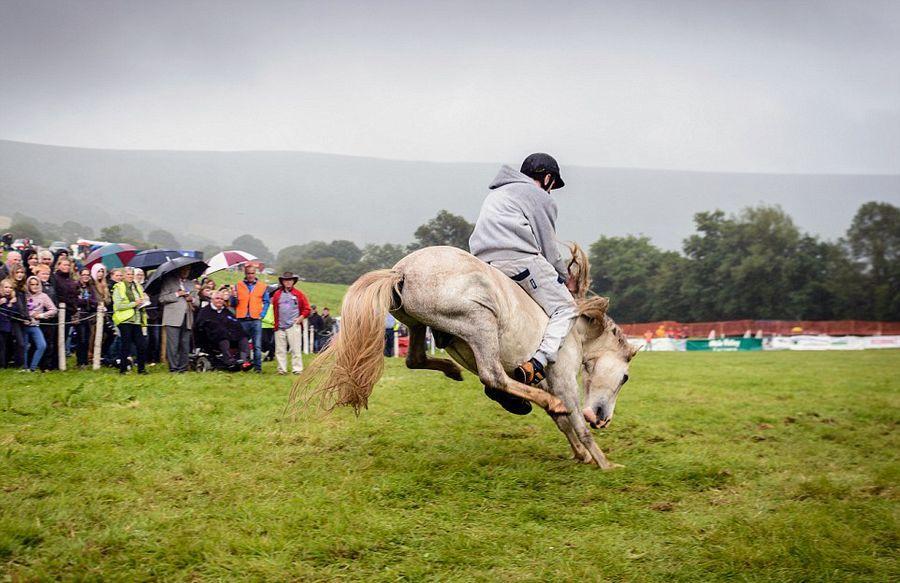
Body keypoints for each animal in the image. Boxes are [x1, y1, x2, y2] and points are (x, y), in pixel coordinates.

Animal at [290, 244, 640, 468]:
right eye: (625, 377)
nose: (603, 418)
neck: (576, 327)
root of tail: (400, 271)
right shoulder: (563, 378)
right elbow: (574, 420)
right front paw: (604, 462)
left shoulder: (546, 380)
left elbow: (564, 422)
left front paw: (582, 455)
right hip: (480, 321)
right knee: (492, 374)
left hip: (415, 323)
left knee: (415, 359)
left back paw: (453, 370)